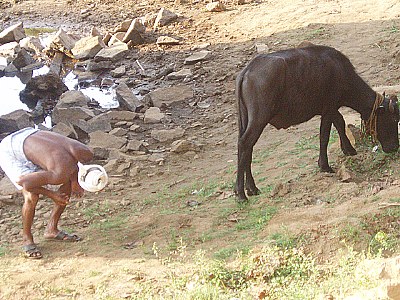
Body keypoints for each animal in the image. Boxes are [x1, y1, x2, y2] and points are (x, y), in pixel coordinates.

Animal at [236, 44, 398, 202]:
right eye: (393, 120)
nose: (395, 147)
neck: (341, 72)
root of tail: (247, 71)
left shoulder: (332, 109)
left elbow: (340, 123)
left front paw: (348, 149)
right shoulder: (329, 109)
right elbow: (324, 136)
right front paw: (325, 165)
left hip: (246, 119)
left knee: (247, 148)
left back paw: (251, 188)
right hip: (259, 118)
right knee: (245, 143)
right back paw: (241, 193)